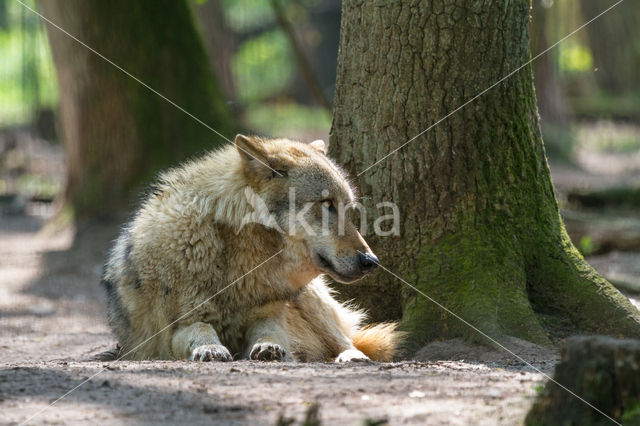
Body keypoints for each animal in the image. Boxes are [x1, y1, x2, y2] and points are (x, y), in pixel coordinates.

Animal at [101, 135, 400, 362]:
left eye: (348, 208)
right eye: (327, 204)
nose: (371, 261)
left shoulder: (268, 313)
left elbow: (270, 332)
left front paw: (269, 347)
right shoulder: (179, 326)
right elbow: (199, 329)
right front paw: (210, 348)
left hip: (312, 302)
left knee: (346, 340)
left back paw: (352, 357)